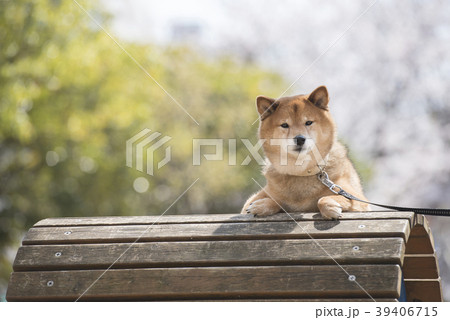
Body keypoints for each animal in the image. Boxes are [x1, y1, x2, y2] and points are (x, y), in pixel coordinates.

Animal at [243, 85, 370, 220]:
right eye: (284, 125)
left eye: (308, 122)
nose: (300, 139)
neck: (301, 172)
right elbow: (276, 202)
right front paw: (261, 205)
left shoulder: (357, 198)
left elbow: (323, 199)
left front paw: (330, 206)